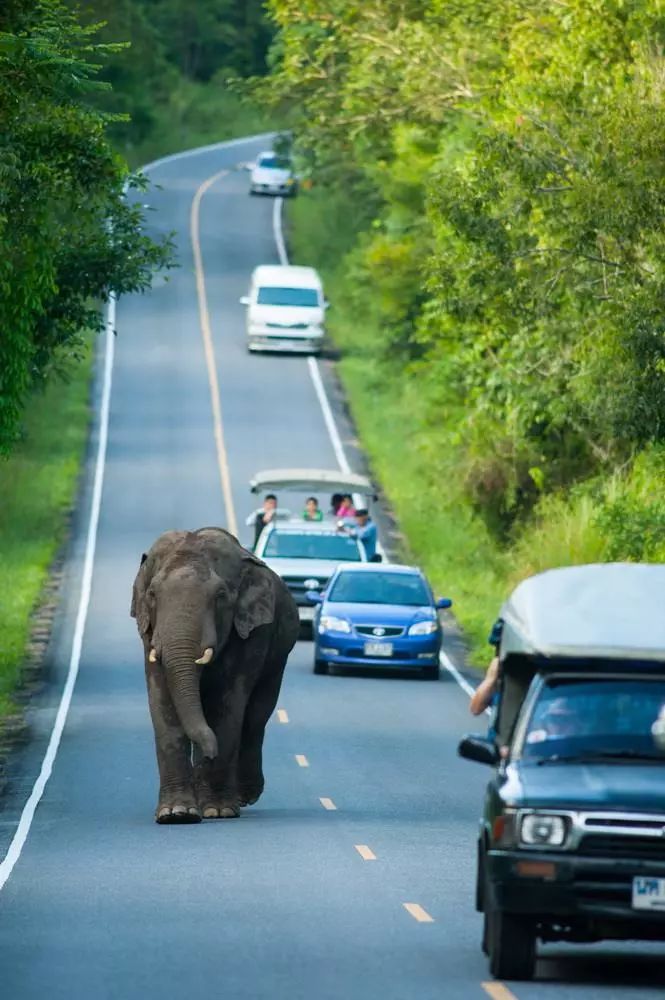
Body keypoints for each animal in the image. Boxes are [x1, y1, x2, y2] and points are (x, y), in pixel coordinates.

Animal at [130, 528, 298, 824]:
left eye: (220, 596)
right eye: (151, 594)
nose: (210, 752)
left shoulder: (250, 632)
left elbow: (227, 705)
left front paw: (218, 811)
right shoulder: (149, 632)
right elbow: (163, 704)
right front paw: (176, 814)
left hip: (278, 657)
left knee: (255, 717)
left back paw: (242, 796)